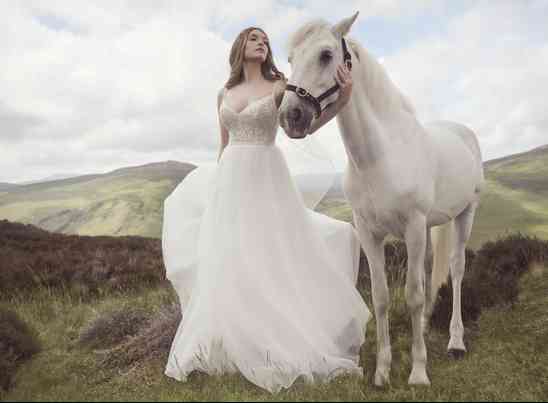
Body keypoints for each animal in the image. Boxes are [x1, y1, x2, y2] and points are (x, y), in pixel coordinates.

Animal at [278, 11, 484, 386]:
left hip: (466, 214)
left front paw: (418, 371)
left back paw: (455, 341)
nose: (290, 117)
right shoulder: (370, 234)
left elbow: (412, 295)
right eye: (290, 59)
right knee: (431, 270)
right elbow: (382, 297)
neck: (381, 156)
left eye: (326, 55)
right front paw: (382, 371)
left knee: (457, 269)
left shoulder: (413, 228)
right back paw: (427, 327)